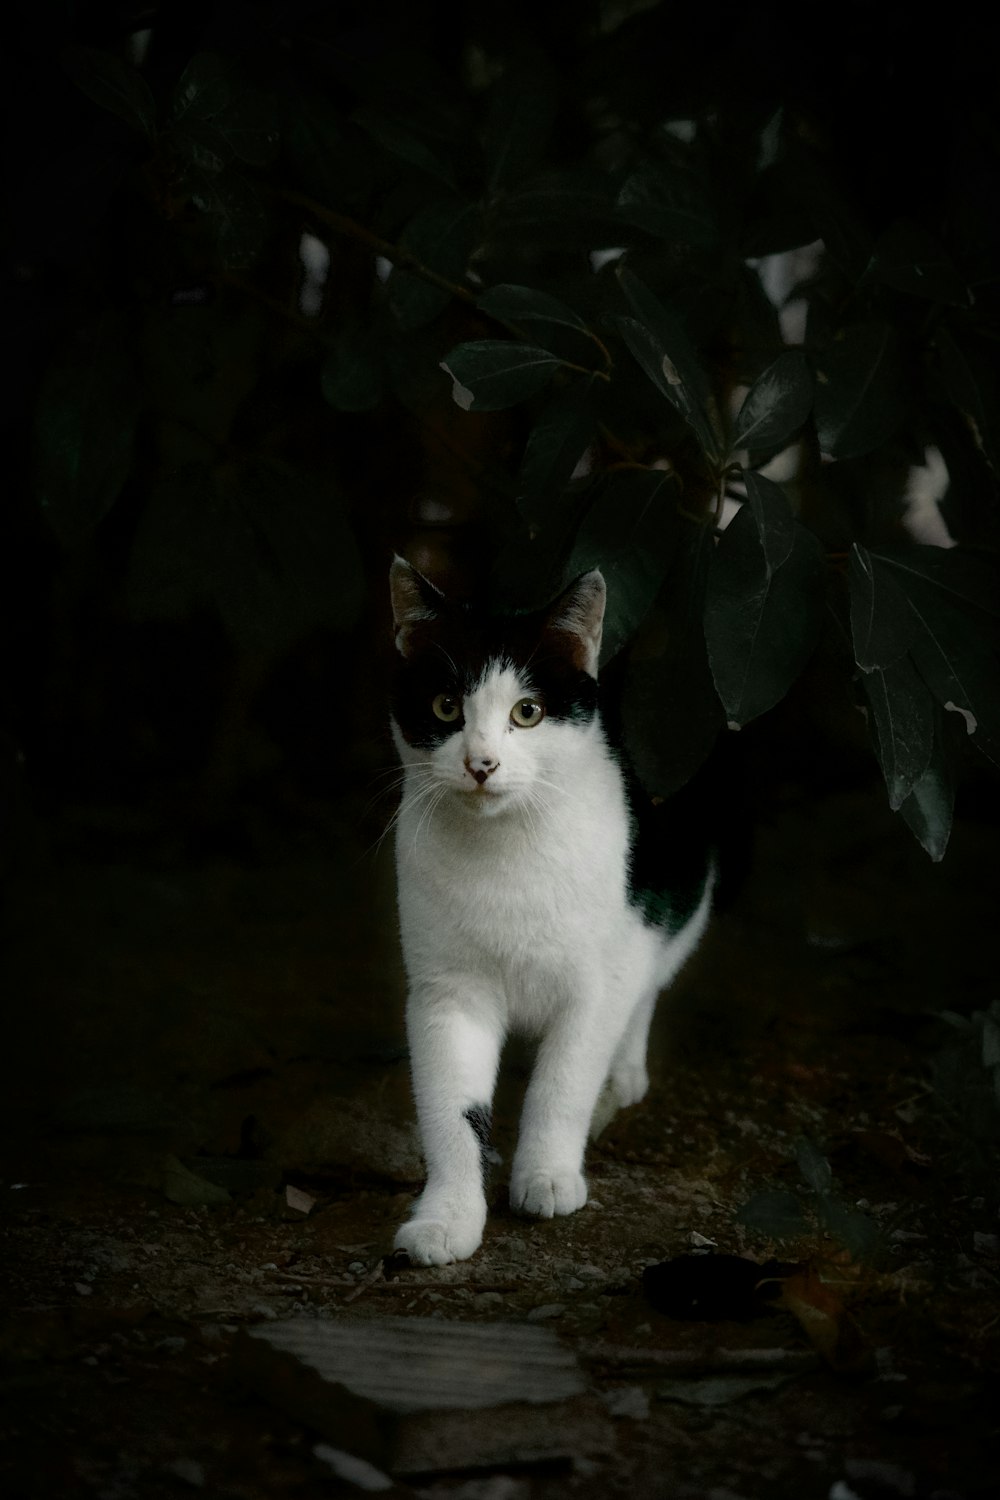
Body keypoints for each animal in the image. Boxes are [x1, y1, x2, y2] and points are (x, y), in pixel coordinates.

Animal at [386, 558, 716, 1260]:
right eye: (446, 706)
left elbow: (563, 1081)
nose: (481, 764)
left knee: (650, 982)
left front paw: (547, 1176)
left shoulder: (600, 980)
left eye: (528, 712)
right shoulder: (446, 990)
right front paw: (447, 1219)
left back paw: (622, 1079)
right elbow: (450, 1109)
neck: (506, 851)